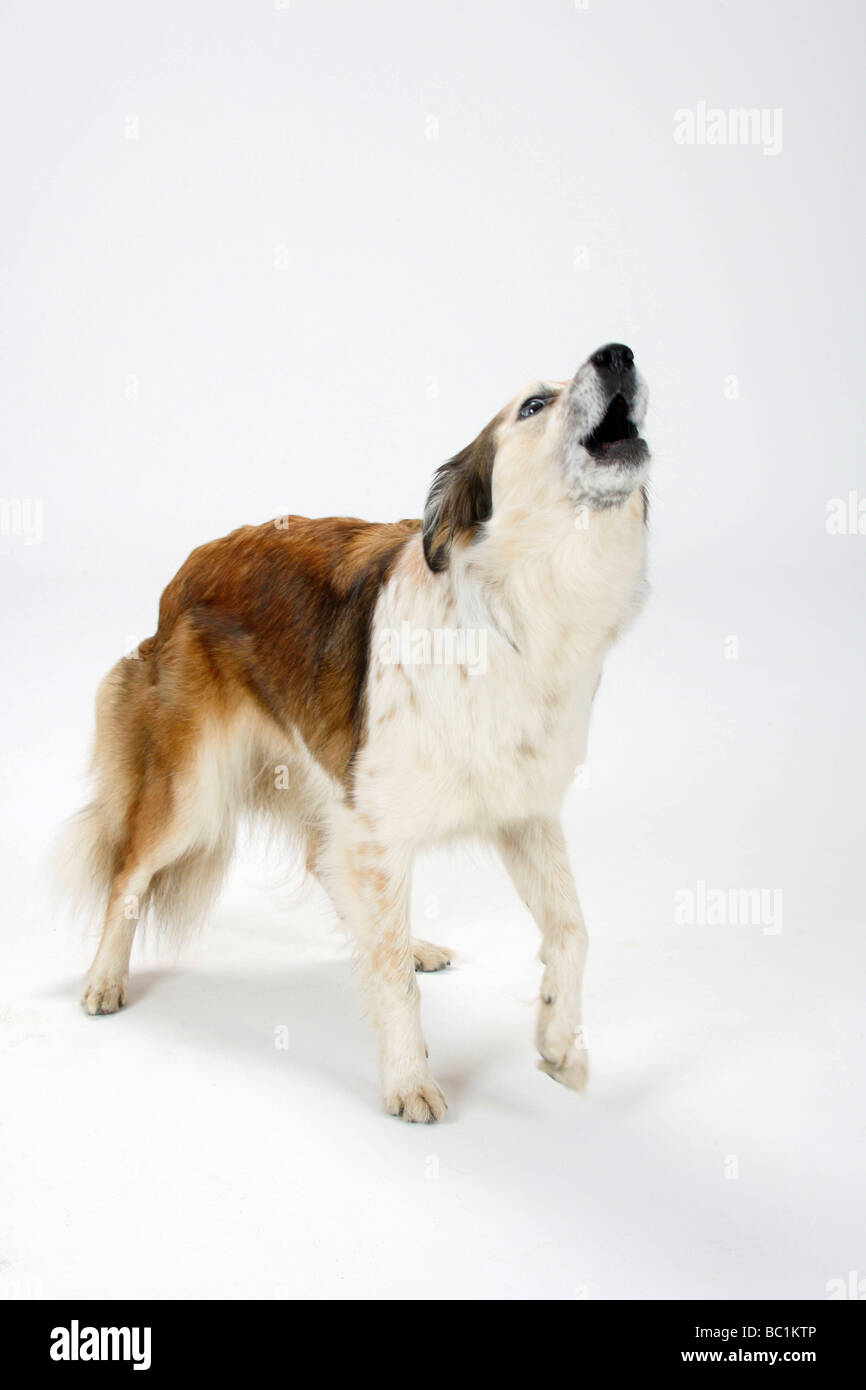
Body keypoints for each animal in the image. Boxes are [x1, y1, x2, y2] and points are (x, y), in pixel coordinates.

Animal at [64, 341, 650, 1123]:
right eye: (533, 405)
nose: (618, 354)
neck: (514, 609)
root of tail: (186, 570)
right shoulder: (377, 826)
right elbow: (390, 973)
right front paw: (407, 1078)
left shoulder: (522, 811)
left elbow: (572, 928)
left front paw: (560, 1042)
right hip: (194, 790)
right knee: (129, 868)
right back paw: (104, 977)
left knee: (329, 869)